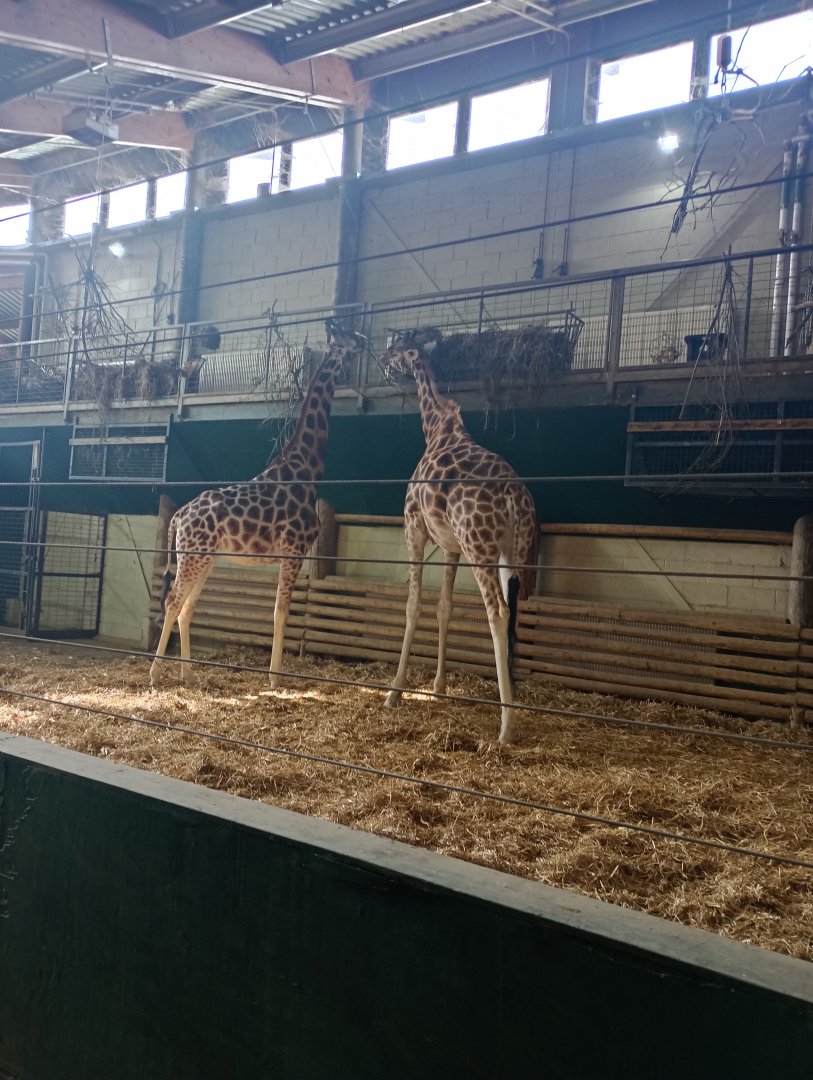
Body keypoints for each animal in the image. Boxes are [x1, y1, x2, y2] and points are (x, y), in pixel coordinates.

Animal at [149, 320, 365, 689]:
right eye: (349, 335)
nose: (364, 340)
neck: (307, 470)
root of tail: (177, 516)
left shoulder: (294, 553)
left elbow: (280, 612)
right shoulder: (294, 549)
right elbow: (281, 612)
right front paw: (275, 679)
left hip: (204, 557)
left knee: (187, 607)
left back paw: (189, 674)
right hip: (194, 556)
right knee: (172, 600)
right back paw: (153, 673)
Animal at [379, 329, 537, 745]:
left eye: (399, 348)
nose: (383, 357)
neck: (436, 429)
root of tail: (515, 497)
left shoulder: (413, 529)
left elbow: (413, 605)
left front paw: (394, 692)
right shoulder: (451, 548)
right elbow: (444, 607)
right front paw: (438, 687)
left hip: (480, 546)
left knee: (497, 611)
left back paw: (506, 726)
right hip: (508, 552)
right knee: (511, 609)